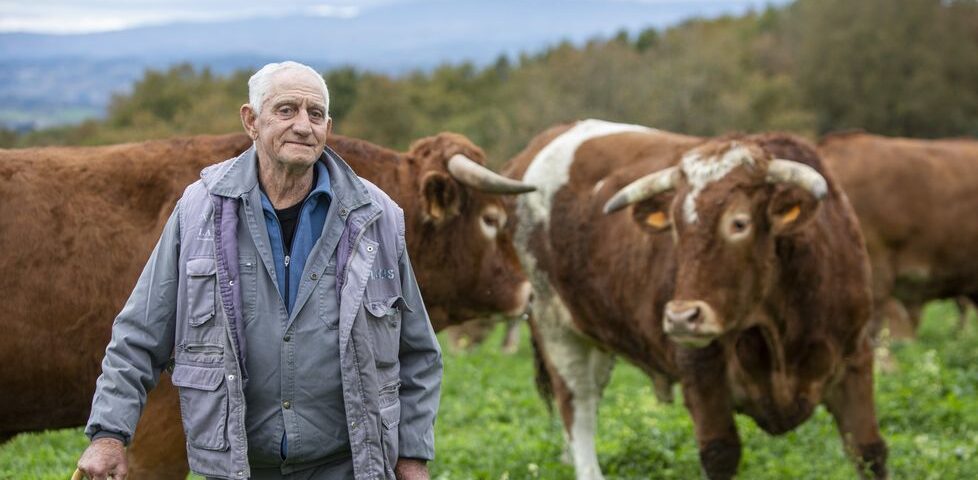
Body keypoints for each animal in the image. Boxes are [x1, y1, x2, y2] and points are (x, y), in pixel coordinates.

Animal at [504, 120, 884, 480]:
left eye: (739, 223)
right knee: (578, 407)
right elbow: (720, 454)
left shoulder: (855, 360)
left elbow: (870, 452)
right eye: (674, 226)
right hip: (555, 327)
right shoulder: (701, 374)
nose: (681, 317)